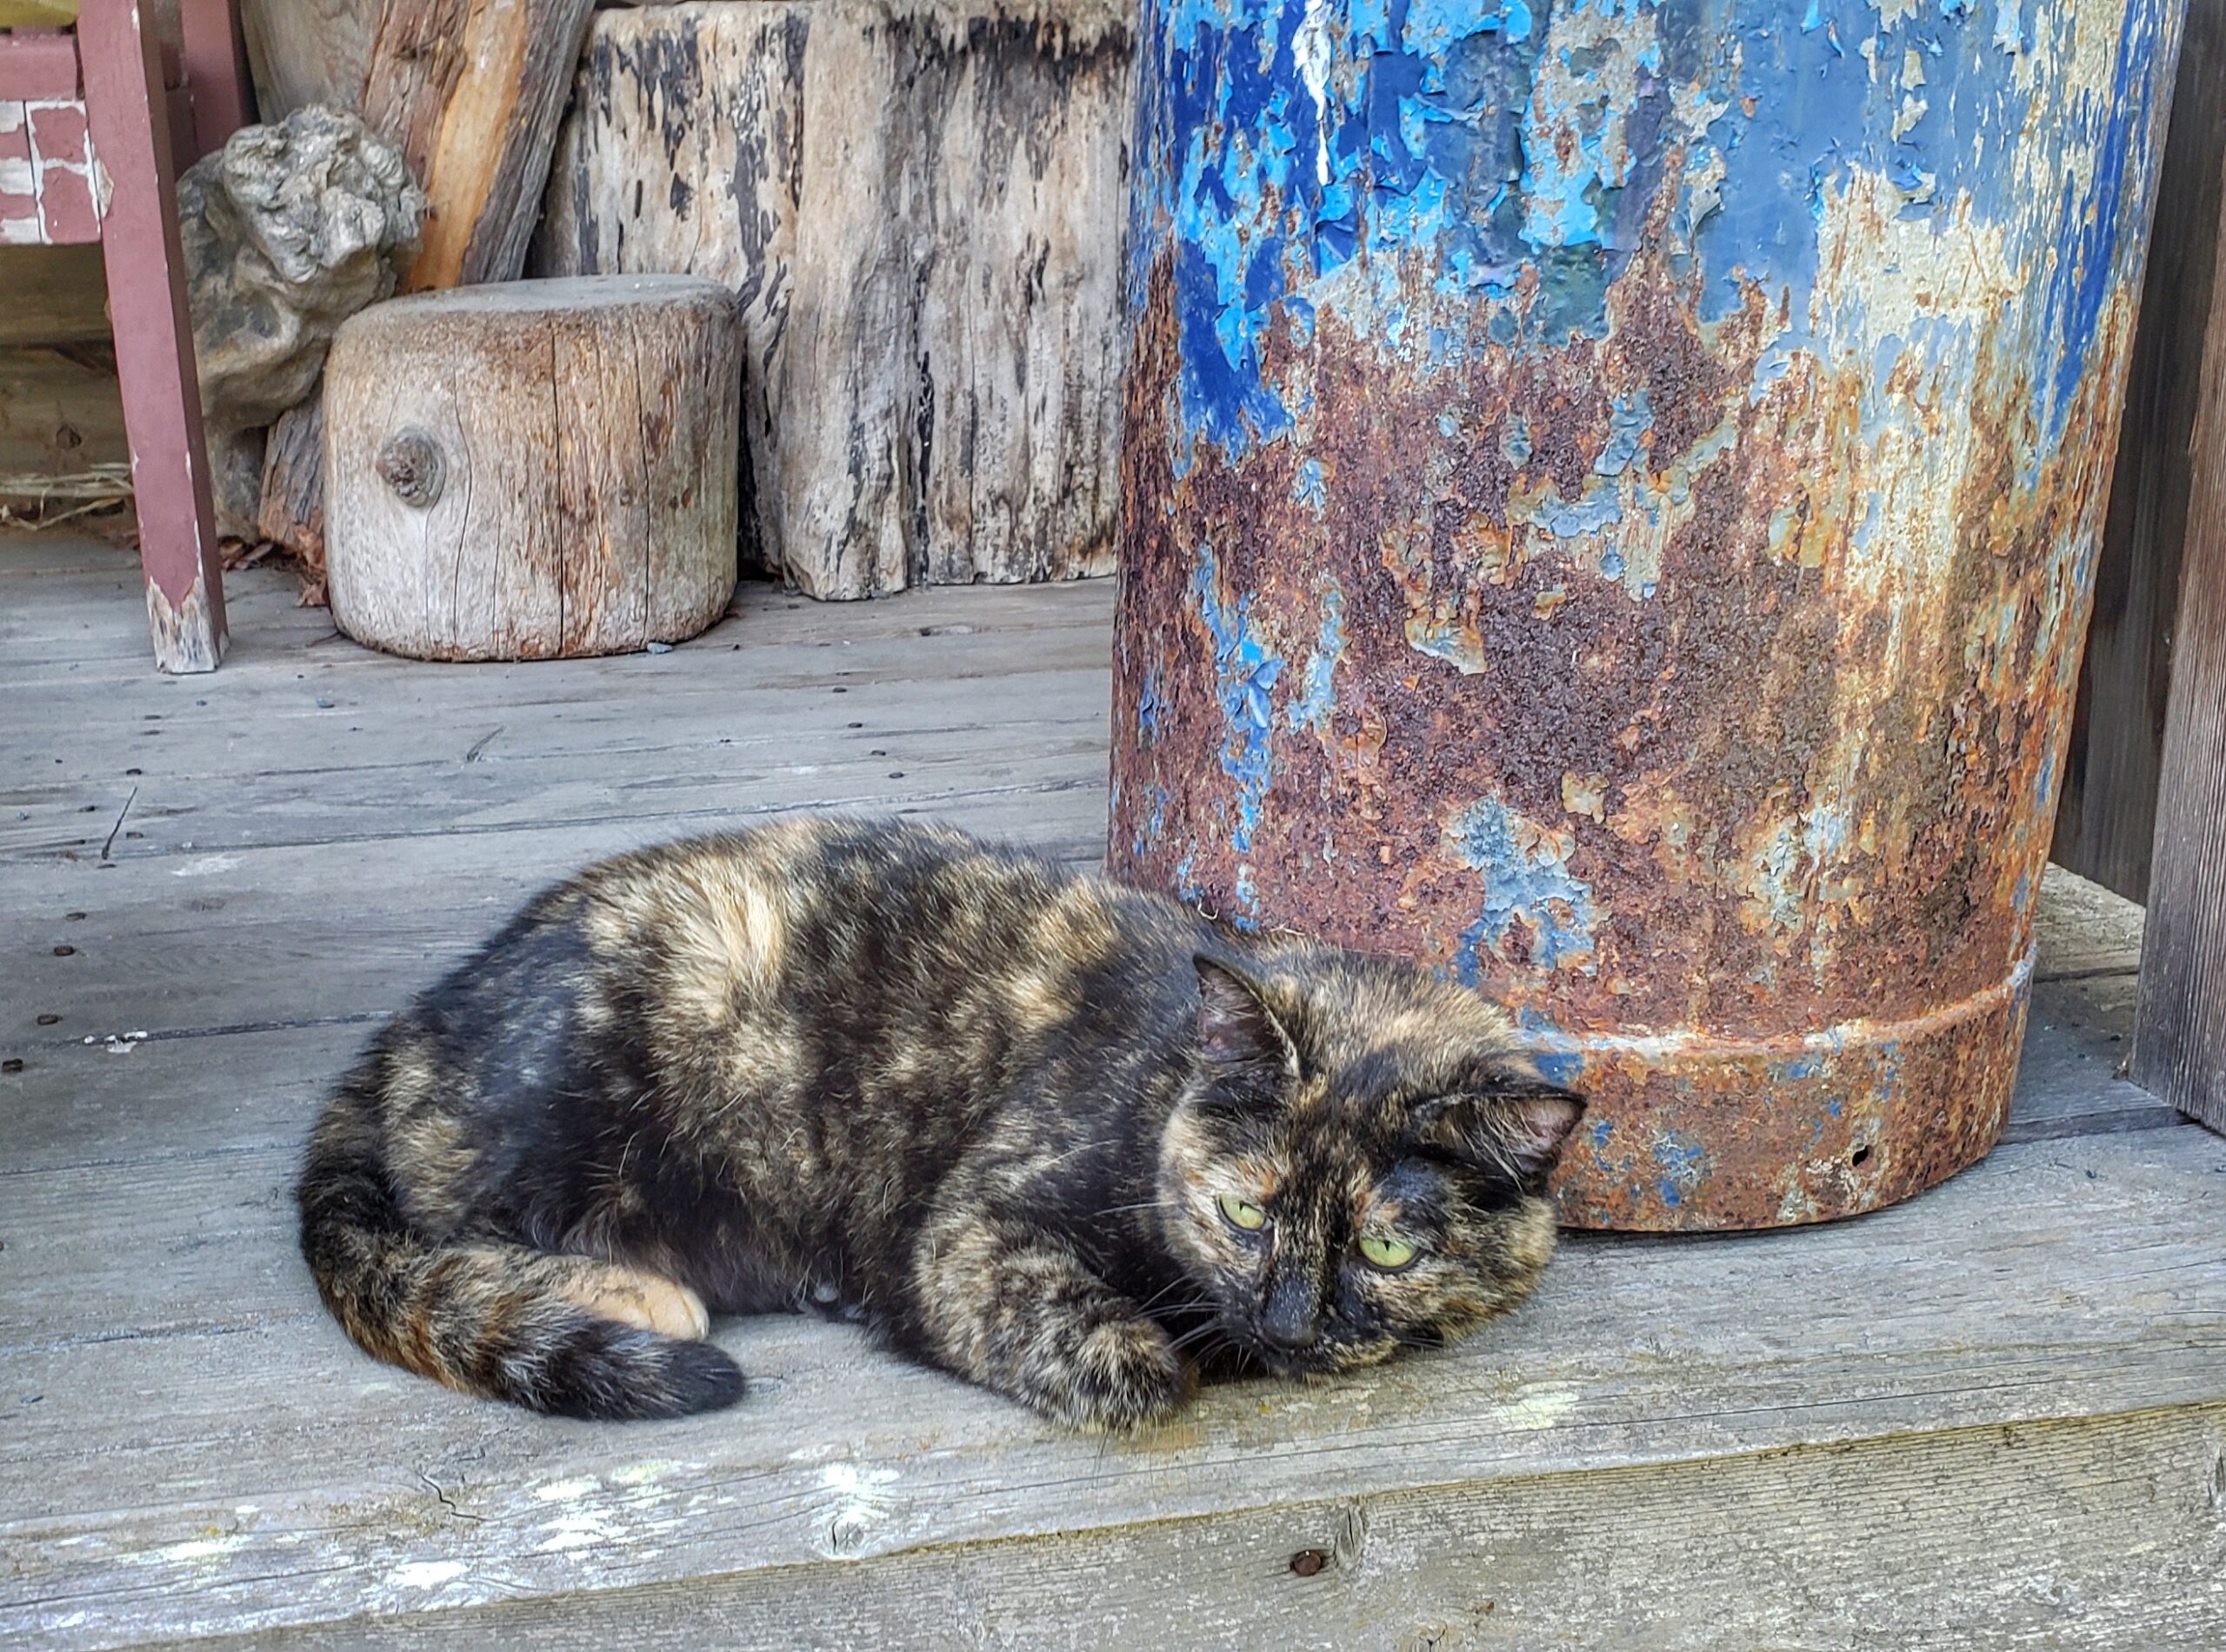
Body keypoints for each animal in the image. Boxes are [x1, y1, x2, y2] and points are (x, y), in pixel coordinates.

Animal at [296, 823, 1584, 1434]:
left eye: (1387, 1246)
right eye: (1243, 1209)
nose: (1284, 1321)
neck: (1163, 1075)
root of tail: (412, 1021)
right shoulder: (967, 1232)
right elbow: (1123, 1360)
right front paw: (1162, 1352)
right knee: (431, 1230)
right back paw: (638, 1294)